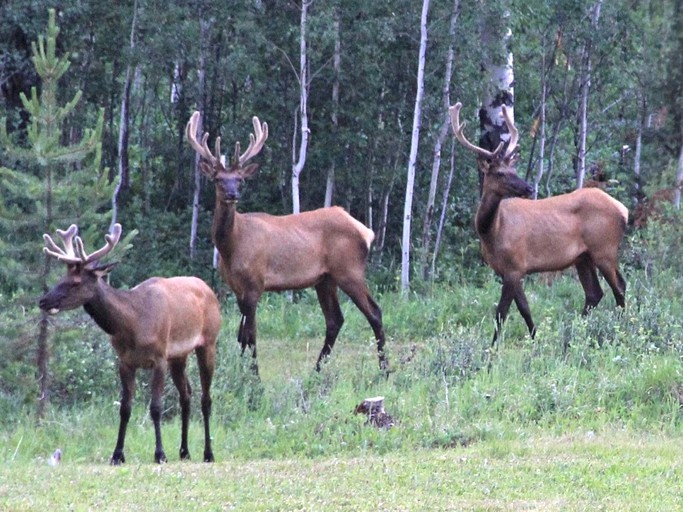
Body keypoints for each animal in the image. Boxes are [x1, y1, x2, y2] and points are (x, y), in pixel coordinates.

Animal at [38, 224, 220, 464]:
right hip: (178, 356)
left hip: (208, 342)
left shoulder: (159, 358)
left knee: (206, 398)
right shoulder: (125, 361)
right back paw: (184, 451)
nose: (43, 300)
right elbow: (125, 408)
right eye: (62, 276)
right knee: (186, 395)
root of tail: (210, 290)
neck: (133, 323)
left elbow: (156, 407)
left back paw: (208, 453)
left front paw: (160, 454)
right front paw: (117, 455)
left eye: (75, 282)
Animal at [184, 112, 388, 374]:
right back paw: (317, 370)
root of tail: (366, 231)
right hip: (325, 279)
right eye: (218, 179)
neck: (232, 247)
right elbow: (241, 335)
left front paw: (254, 376)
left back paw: (384, 370)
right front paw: (242, 371)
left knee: (374, 312)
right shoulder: (237, 288)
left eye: (239, 179)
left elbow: (251, 335)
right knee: (335, 319)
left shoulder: (255, 284)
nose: (232, 194)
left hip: (349, 270)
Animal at [448, 102, 632, 346]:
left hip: (604, 249)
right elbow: (524, 307)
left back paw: (619, 331)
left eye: (513, 170)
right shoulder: (506, 269)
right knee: (594, 293)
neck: (492, 231)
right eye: (500, 173)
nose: (528, 188)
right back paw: (573, 334)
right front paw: (535, 339)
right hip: (582, 257)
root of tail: (624, 210)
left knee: (619, 287)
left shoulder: (515, 265)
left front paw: (492, 348)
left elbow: (502, 312)